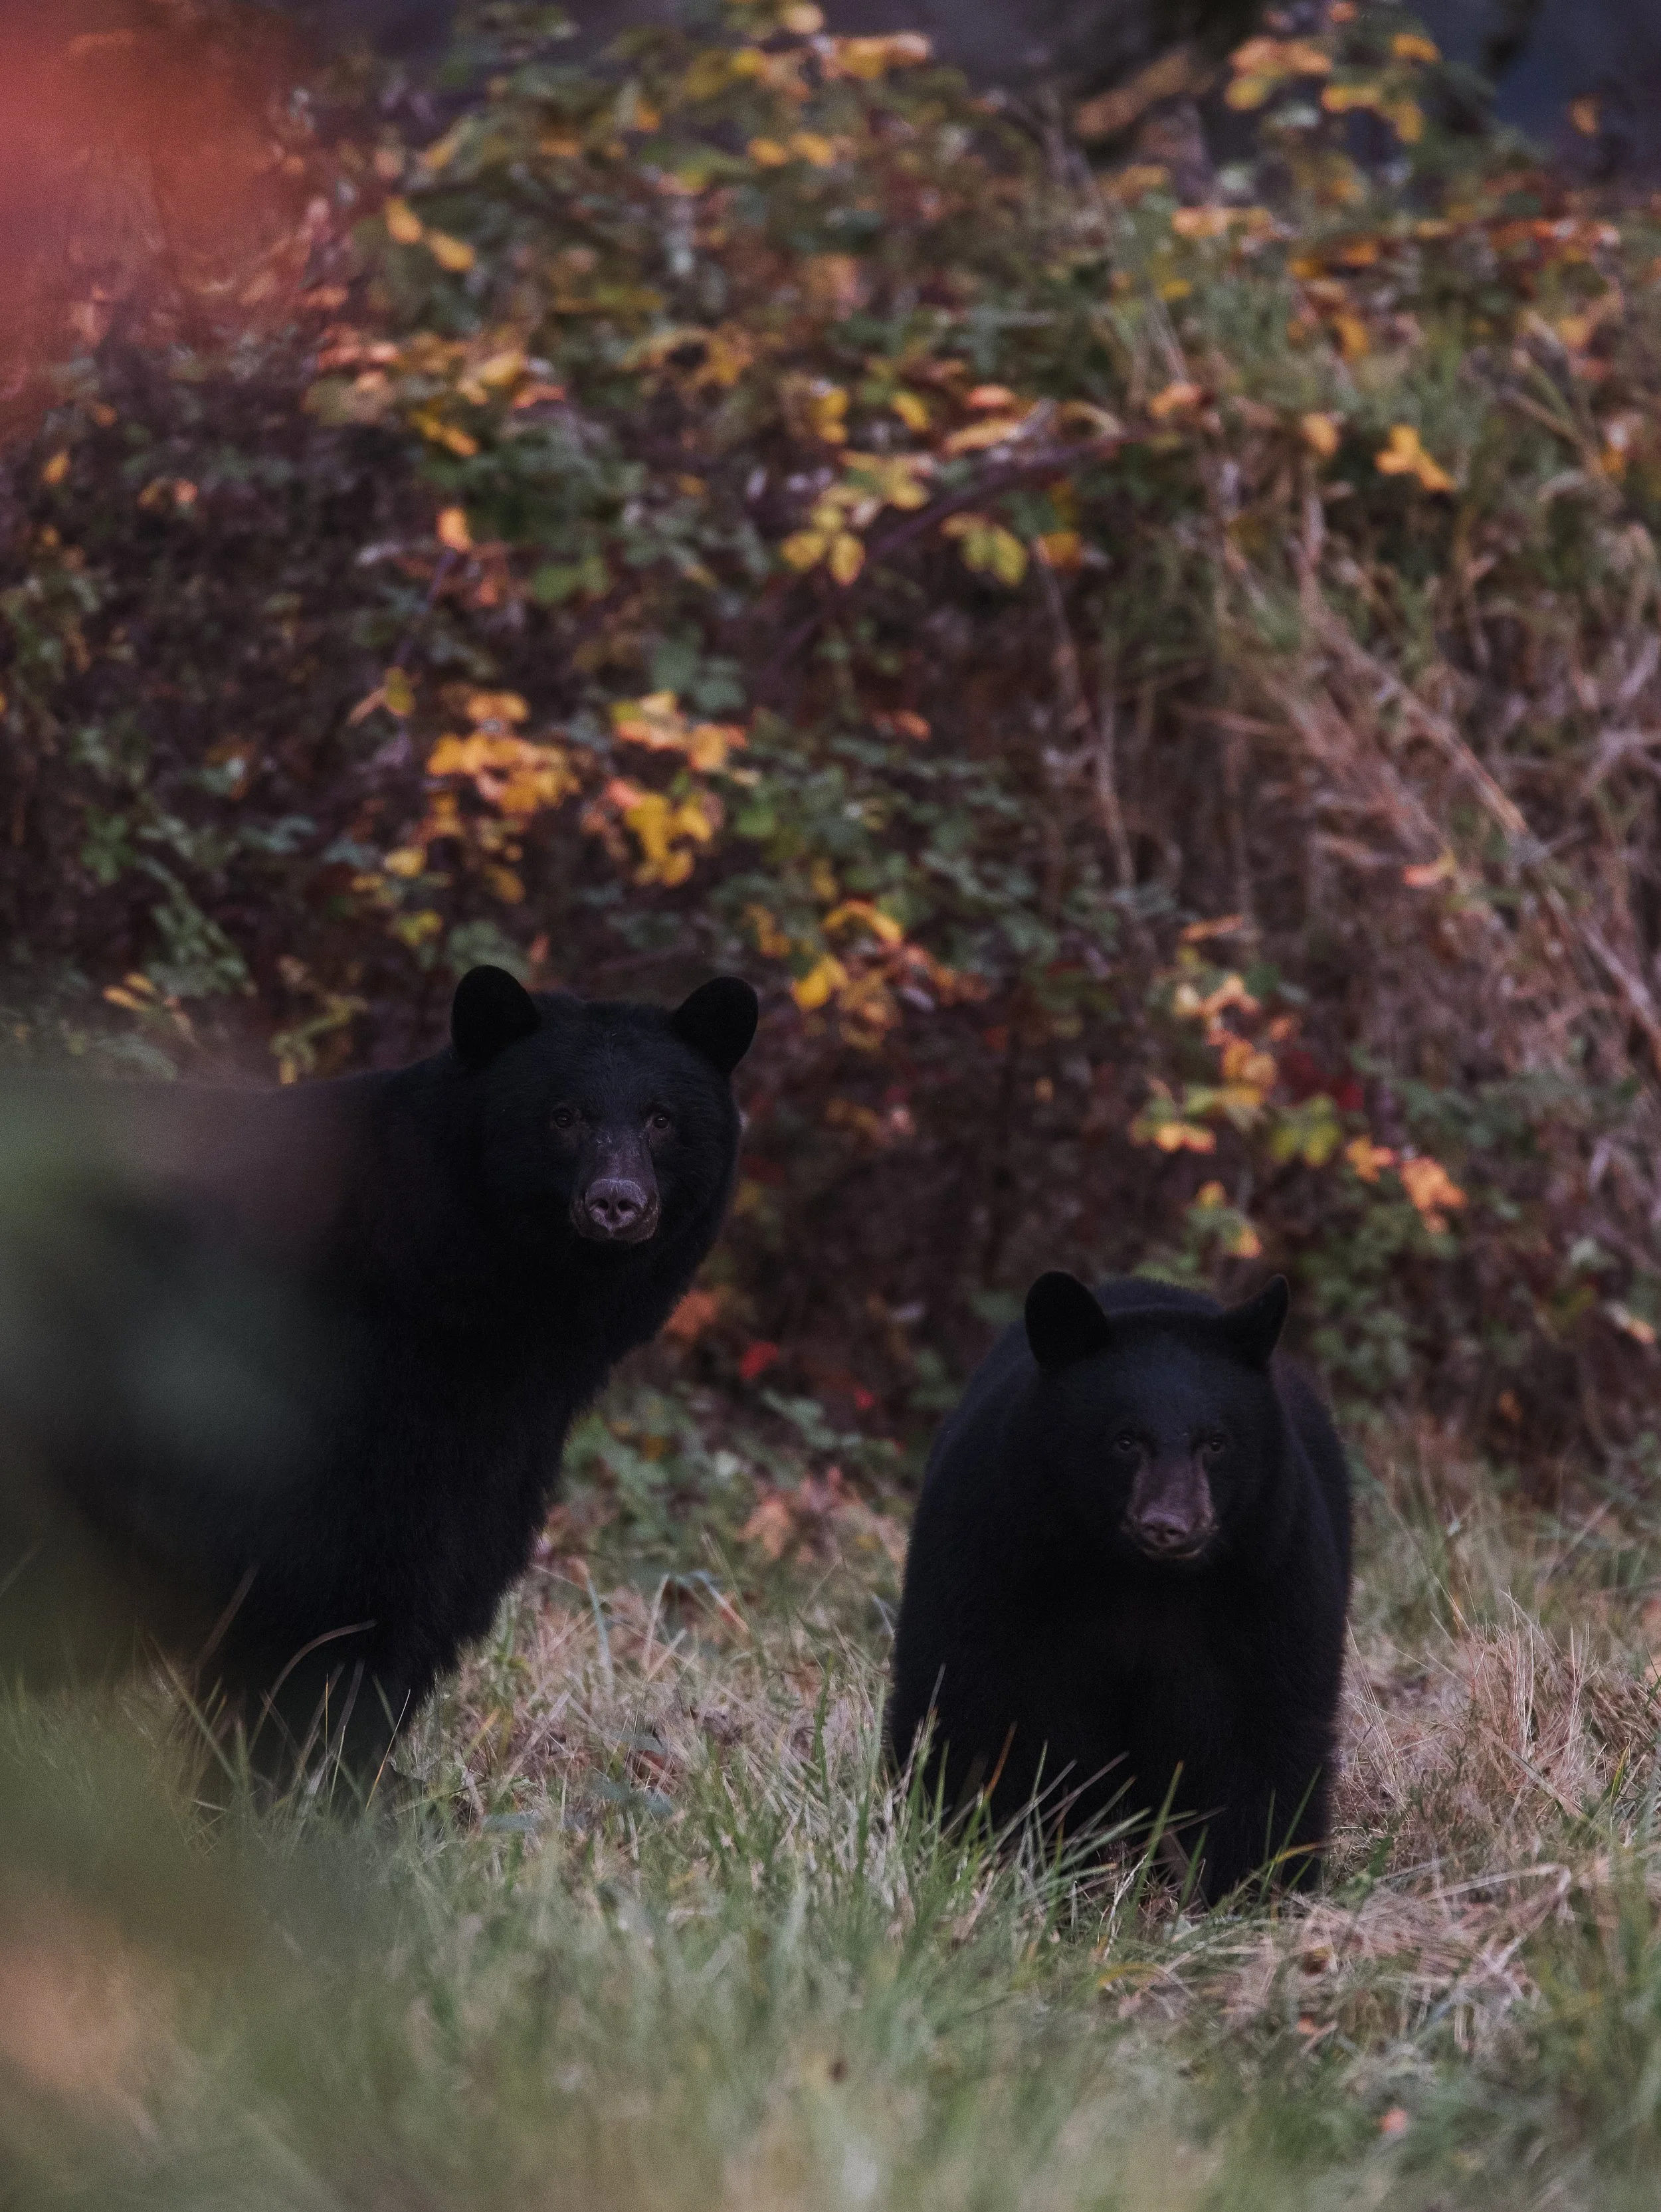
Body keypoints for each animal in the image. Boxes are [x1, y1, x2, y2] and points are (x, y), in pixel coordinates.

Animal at [0, 965, 757, 1788]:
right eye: (562, 1115)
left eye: (662, 1119)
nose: (617, 1202)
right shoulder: (327, 1408)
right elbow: (336, 1602)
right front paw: (291, 1791)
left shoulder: (492, 1437)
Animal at [887, 1271, 1352, 1902]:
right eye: (1127, 1439)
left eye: (1216, 1442)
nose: (1170, 1525)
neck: (1140, 1579)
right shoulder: (993, 1551)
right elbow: (966, 1702)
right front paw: (965, 1854)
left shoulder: (1271, 1574)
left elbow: (1267, 1729)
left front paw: (1256, 1888)